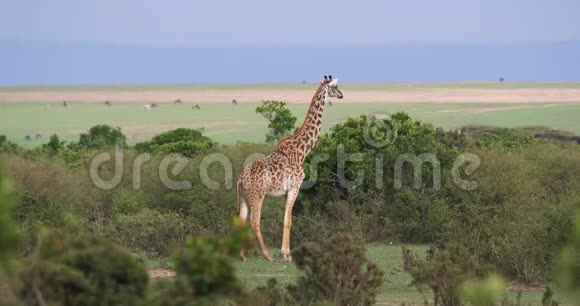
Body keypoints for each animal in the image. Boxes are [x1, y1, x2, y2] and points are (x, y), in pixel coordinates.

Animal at [237, 74, 342, 260]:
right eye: (335, 87)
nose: (342, 95)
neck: (301, 152)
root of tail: (240, 179)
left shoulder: (287, 191)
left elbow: (286, 219)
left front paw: (285, 252)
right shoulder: (295, 187)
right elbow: (289, 220)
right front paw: (286, 255)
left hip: (242, 197)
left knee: (242, 221)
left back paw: (242, 256)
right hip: (257, 196)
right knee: (254, 221)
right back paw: (267, 255)